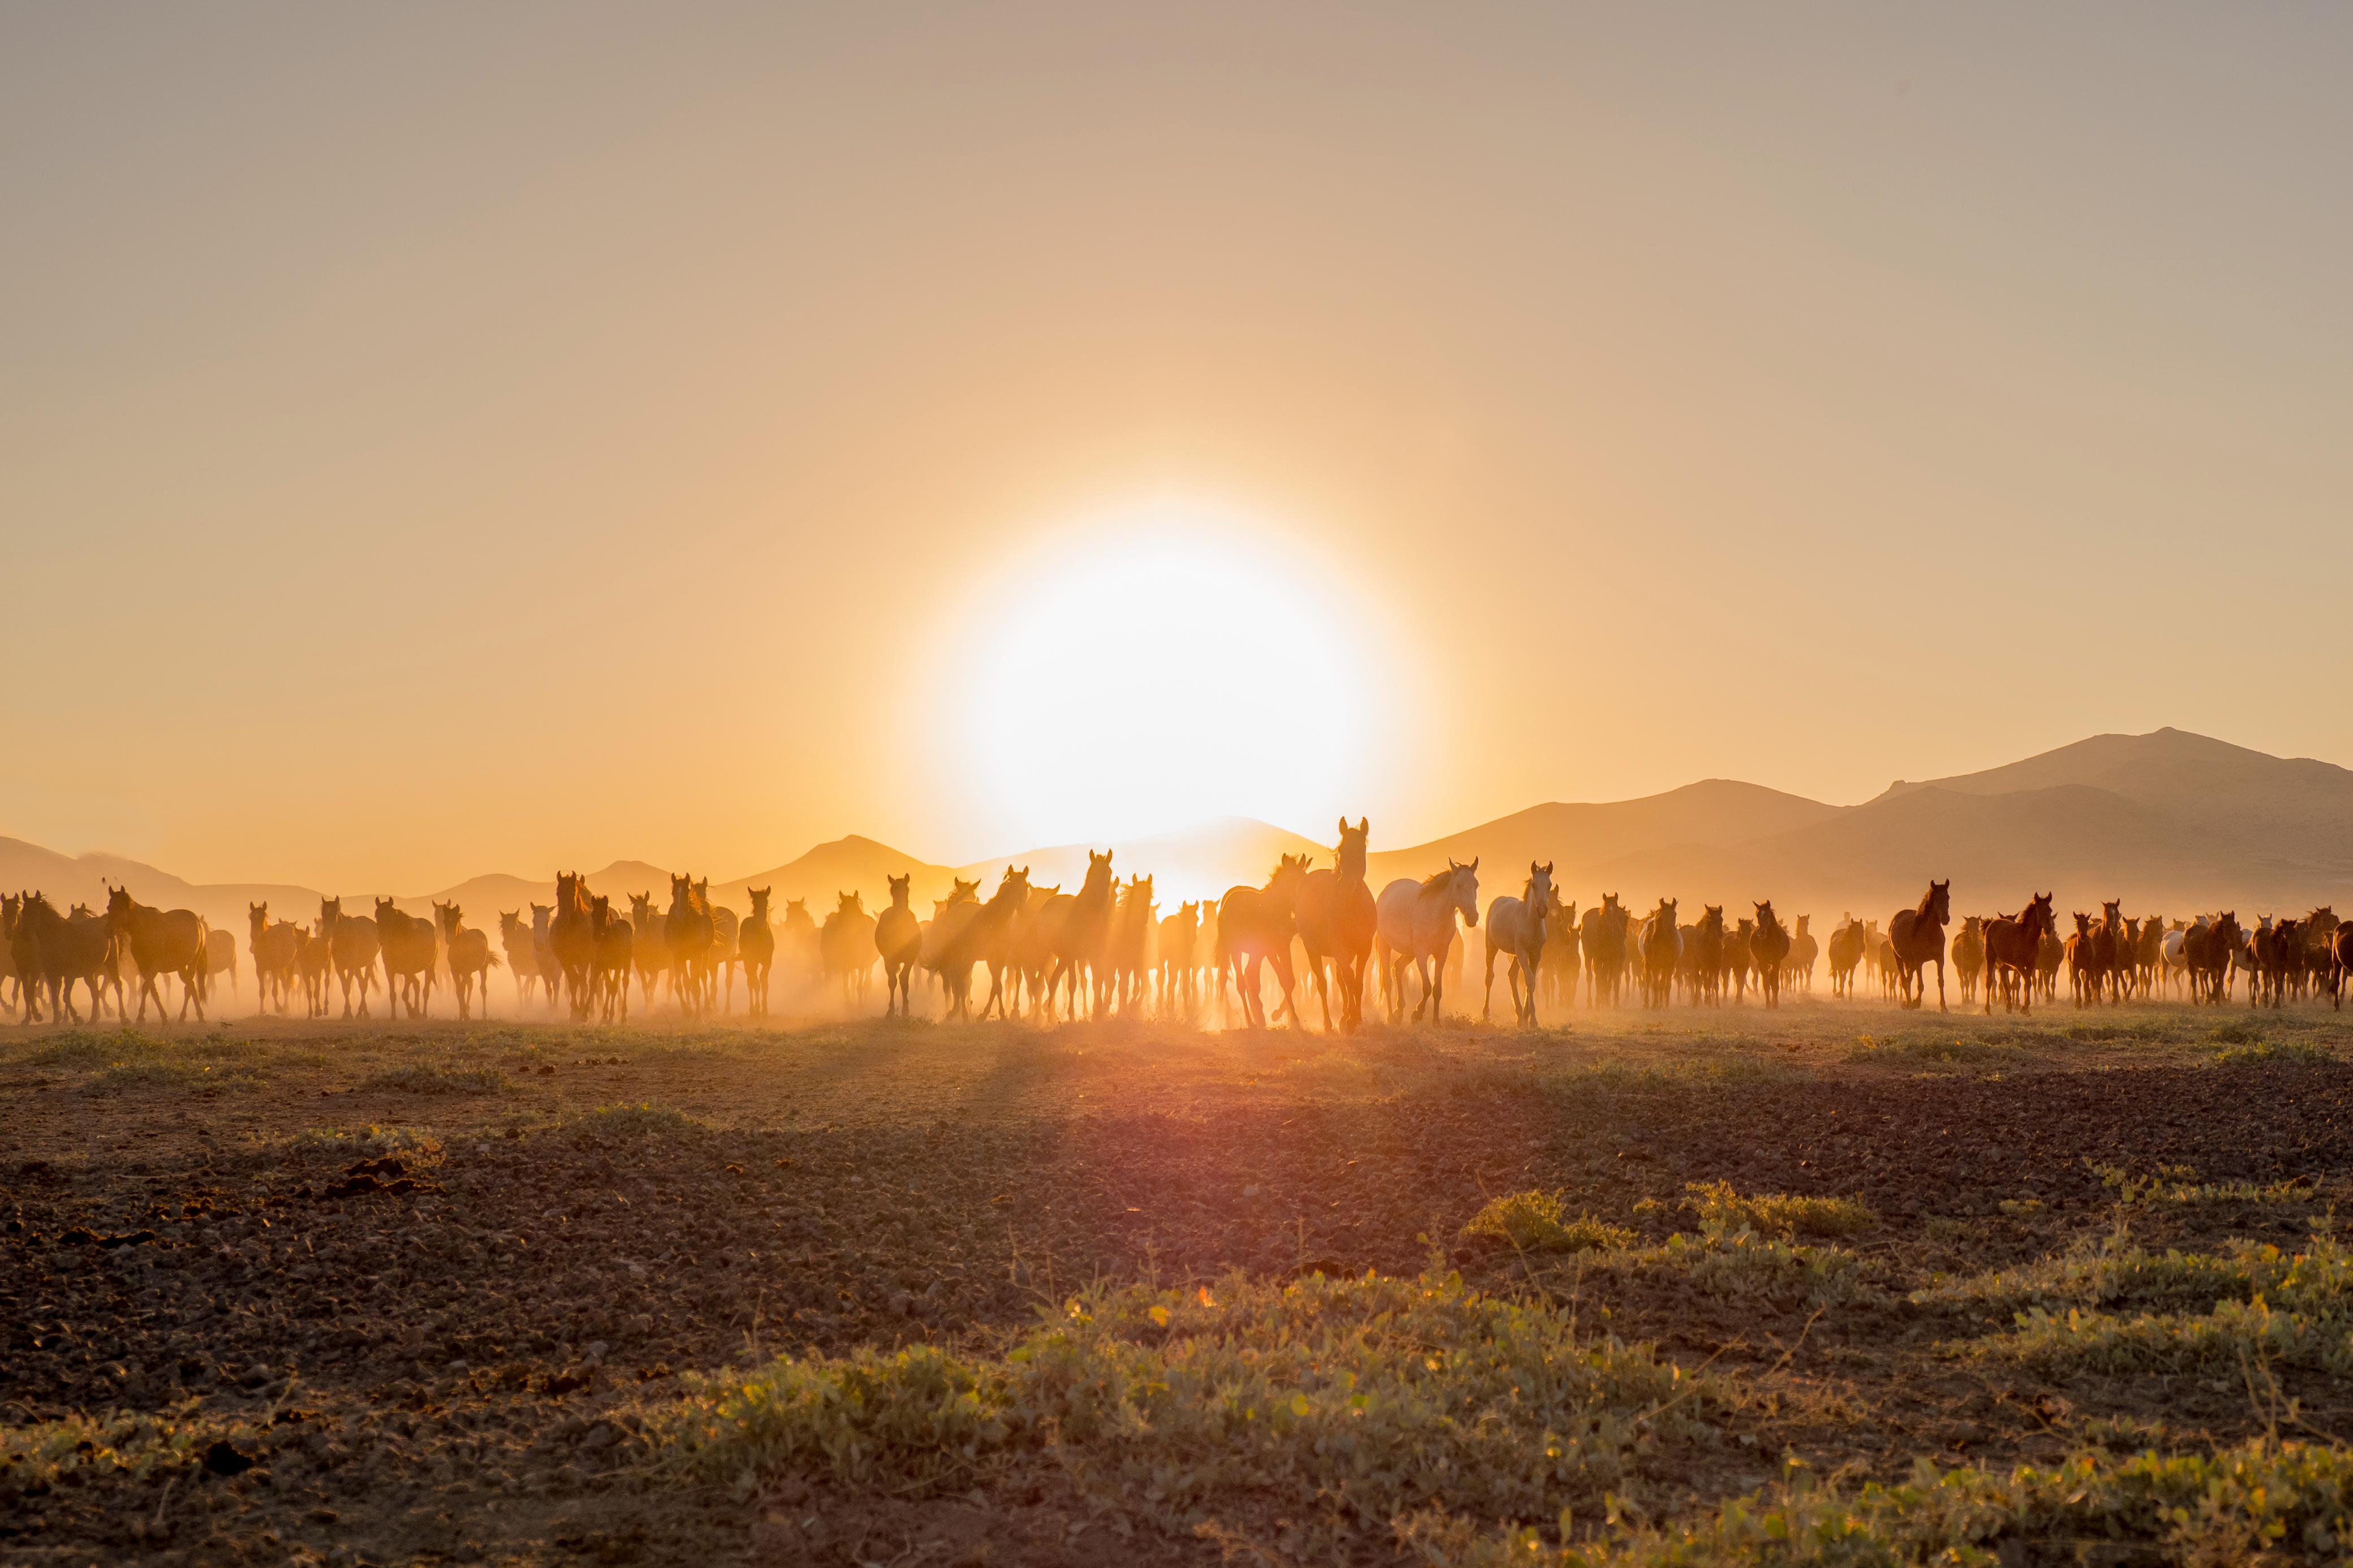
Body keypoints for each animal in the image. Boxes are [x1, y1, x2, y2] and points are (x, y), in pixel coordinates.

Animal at [1289, 818, 1374, 1034]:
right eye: (1342, 850)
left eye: (1361, 849)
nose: (1347, 885)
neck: (1352, 907)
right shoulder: (1339, 949)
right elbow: (1350, 980)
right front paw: (1351, 1020)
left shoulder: (1364, 949)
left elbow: (1357, 982)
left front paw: (1355, 1019)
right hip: (1314, 951)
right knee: (1323, 983)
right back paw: (1329, 1023)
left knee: (1340, 979)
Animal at [1374, 860, 1477, 1029]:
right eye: (1459, 885)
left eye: (1476, 884)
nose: (1472, 917)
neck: (1436, 915)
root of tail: (1385, 891)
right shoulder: (1422, 955)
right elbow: (1427, 987)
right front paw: (1417, 1014)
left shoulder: (1441, 955)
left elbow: (1437, 989)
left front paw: (1436, 1021)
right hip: (1385, 946)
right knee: (1388, 981)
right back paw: (1391, 1017)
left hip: (1409, 953)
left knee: (1398, 968)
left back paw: (1399, 1011)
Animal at [1477, 865, 1553, 1025]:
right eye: (1534, 885)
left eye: (1549, 885)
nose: (1542, 910)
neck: (1531, 923)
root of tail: (1498, 900)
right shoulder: (1523, 952)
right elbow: (1529, 980)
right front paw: (1533, 1021)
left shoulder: (1536, 954)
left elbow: (1532, 981)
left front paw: (1526, 1016)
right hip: (1492, 947)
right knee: (1489, 977)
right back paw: (1486, 1014)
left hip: (1516, 955)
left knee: (1512, 975)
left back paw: (1519, 1014)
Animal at [1882, 879, 1958, 1010]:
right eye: (1935, 899)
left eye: (1948, 897)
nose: (1945, 919)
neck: (1929, 932)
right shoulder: (1919, 961)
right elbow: (1920, 985)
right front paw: (1916, 1003)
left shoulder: (1940, 960)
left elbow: (1941, 982)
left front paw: (1943, 1007)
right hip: (1899, 959)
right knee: (1904, 980)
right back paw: (1908, 1003)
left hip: (1910, 962)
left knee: (1908, 979)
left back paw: (1908, 1002)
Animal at [1976, 893, 2052, 1020]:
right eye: (2040, 911)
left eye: (2050, 910)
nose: (2048, 929)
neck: (2027, 938)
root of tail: (1992, 923)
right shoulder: (2019, 964)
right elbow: (2027, 982)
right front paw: (2024, 1008)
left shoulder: (2030, 964)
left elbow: (2026, 983)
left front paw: (2025, 1009)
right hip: (1991, 958)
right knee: (1989, 981)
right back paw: (1988, 1010)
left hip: (2008, 963)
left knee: (2002, 973)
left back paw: (2009, 1007)